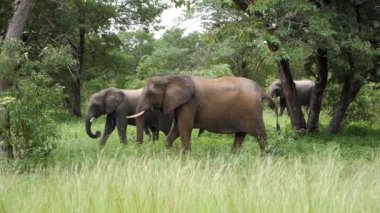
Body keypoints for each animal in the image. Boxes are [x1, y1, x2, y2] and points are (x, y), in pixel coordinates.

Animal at [127, 74, 280, 152]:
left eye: (150, 94)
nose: (138, 147)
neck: (168, 78)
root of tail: (261, 91)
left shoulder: (189, 103)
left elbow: (184, 128)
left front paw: (184, 156)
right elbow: (176, 130)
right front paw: (169, 152)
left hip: (252, 111)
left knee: (261, 136)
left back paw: (265, 157)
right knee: (240, 136)